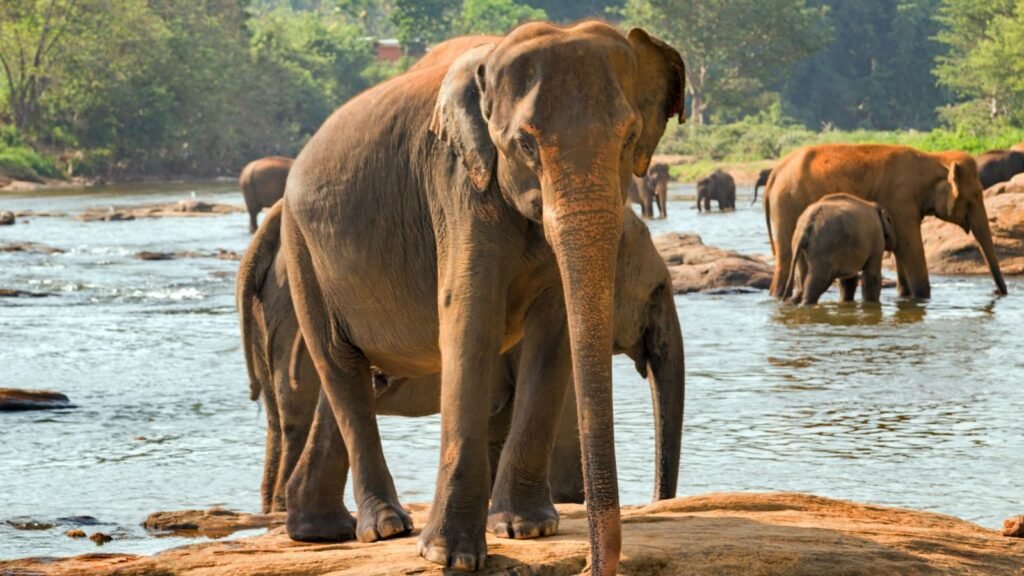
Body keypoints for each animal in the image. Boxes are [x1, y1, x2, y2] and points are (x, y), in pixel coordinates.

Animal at [765, 144, 1007, 301]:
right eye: (975, 195)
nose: (997, 292)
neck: (933, 158)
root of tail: (775, 172)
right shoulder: (900, 200)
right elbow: (910, 248)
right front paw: (922, 298)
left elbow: (902, 250)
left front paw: (905, 296)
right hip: (787, 205)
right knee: (785, 259)